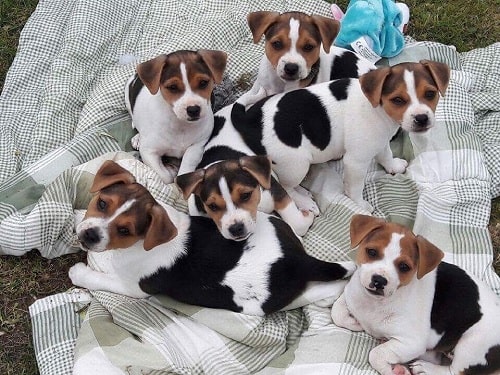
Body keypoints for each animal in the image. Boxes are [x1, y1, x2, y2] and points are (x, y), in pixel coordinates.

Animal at [69, 160, 356, 316]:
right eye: (102, 203)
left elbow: (100, 279)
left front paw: (79, 273)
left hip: (264, 304)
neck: (139, 244)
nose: (89, 234)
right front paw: (77, 217)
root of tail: (298, 260)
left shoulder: (132, 287)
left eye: (125, 230)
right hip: (271, 222)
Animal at [124, 50, 228, 185]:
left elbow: (187, 166)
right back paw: (137, 137)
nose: (193, 110)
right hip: (127, 96)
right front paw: (170, 171)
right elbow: (164, 176)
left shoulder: (198, 145)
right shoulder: (148, 151)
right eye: (172, 87)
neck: (179, 123)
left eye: (203, 83)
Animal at [232, 58, 452, 212]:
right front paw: (360, 205)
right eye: (398, 100)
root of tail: (250, 121)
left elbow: (386, 154)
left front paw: (393, 166)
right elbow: (355, 188)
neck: (378, 109)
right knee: (285, 187)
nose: (422, 118)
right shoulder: (356, 162)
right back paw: (303, 200)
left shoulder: (379, 141)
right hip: (296, 165)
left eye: (430, 94)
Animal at [332, 214, 500, 375]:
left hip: (472, 344)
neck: (375, 302)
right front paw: (354, 322)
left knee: (454, 371)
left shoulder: (411, 342)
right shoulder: (350, 293)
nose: (379, 280)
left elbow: (376, 354)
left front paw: (393, 371)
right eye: (372, 252)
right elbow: (336, 311)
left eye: (404, 267)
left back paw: (425, 368)